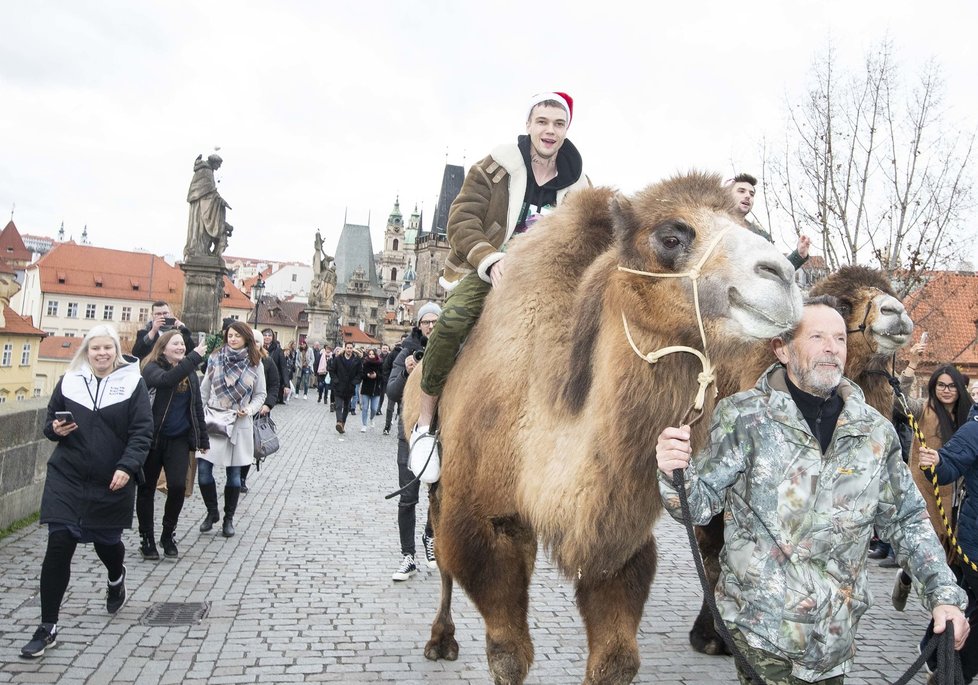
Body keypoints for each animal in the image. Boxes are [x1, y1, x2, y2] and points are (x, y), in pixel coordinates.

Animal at [402, 172, 800, 684]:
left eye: (750, 226)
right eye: (671, 237)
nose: (783, 276)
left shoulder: (618, 544)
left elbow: (617, 658)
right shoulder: (483, 523)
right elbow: (508, 652)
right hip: (438, 478)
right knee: (440, 552)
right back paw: (440, 640)